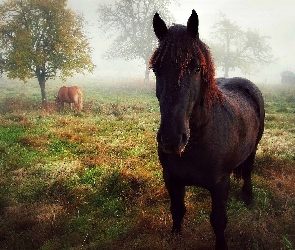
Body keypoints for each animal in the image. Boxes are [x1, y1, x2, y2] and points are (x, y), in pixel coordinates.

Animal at [150, 10, 266, 250]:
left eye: (196, 68)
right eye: (156, 69)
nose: (171, 139)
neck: (199, 140)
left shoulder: (220, 184)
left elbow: (219, 221)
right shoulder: (172, 179)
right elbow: (177, 210)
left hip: (253, 149)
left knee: (248, 171)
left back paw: (248, 197)